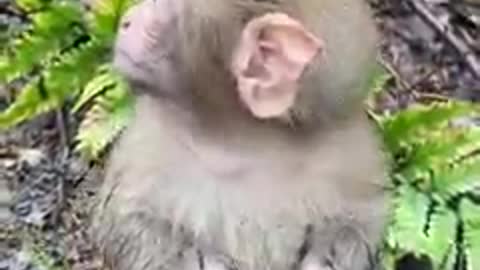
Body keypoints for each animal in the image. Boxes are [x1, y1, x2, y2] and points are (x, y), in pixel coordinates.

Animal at [92, 0, 388, 270]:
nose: (127, 20)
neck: (242, 139)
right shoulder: (152, 142)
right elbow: (134, 225)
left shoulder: (346, 153)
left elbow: (357, 223)